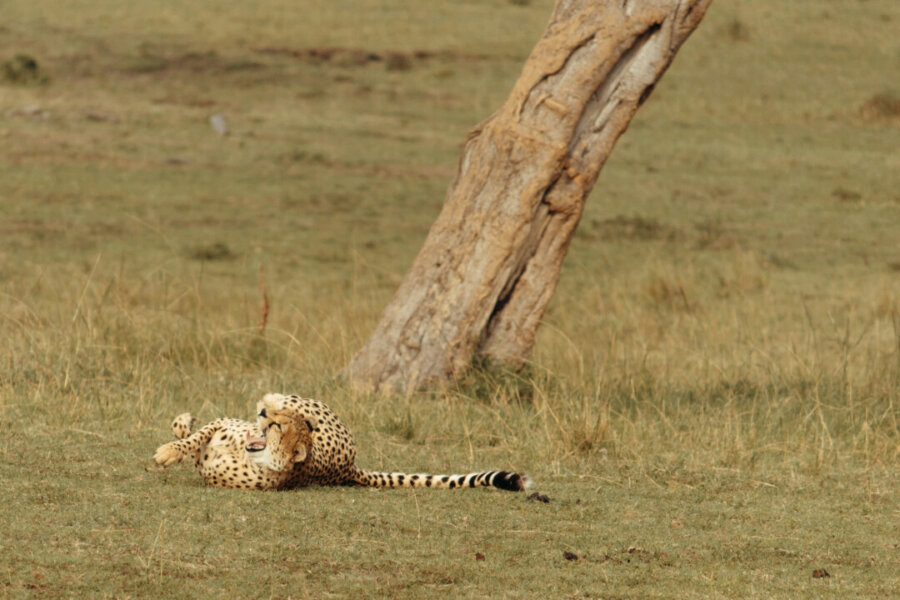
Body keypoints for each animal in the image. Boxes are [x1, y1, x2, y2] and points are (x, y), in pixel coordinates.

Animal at [156, 394, 532, 492]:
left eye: (278, 425)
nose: (263, 411)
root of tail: (349, 466)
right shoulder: (223, 426)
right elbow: (196, 436)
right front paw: (171, 446)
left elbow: (197, 447)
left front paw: (170, 450)